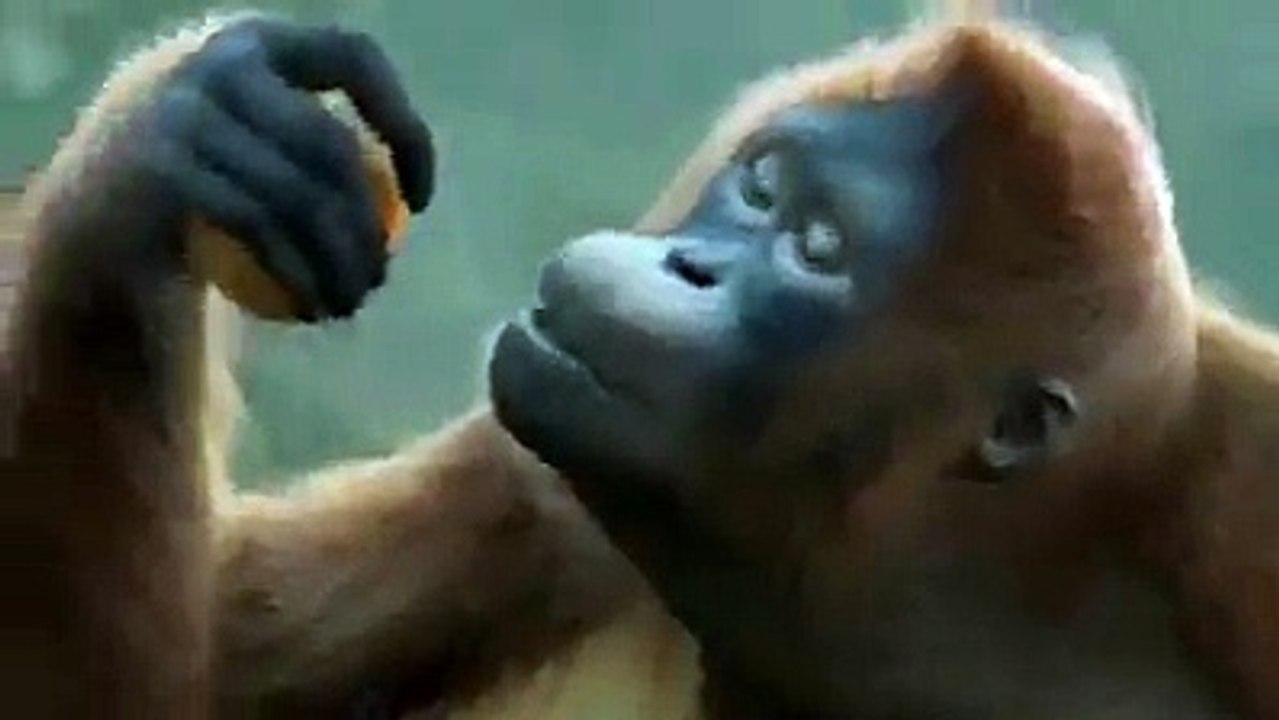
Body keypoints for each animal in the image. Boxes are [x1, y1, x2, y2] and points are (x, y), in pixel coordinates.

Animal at [4, 4, 1278, 720]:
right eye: (759, 185)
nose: (688, 262)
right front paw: (169, 151)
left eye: (818, 249)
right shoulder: (556, 476)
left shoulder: (1238, 520)